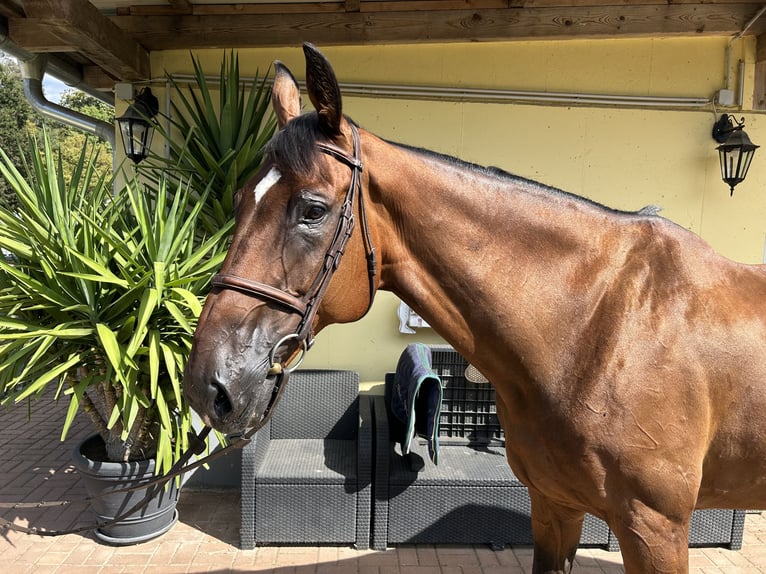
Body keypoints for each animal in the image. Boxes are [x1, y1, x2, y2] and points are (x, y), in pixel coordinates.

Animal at [184, 43, 766, 573]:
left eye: (312, 210)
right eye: (238, 200)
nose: (207, 386)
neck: (595, 329)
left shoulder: (655, 529)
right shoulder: (555, 507)